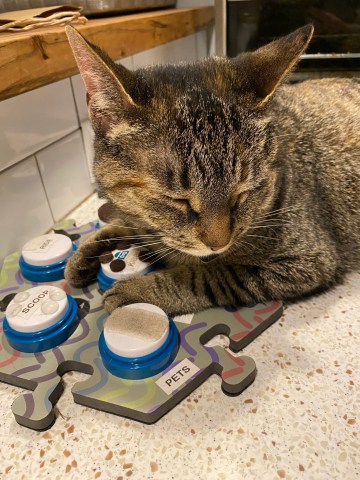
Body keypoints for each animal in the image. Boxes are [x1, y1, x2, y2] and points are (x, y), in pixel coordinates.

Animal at [64, 23, 360, 316]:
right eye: (178, 200)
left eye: (242, 194)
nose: (219, 243)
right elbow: (129, 224)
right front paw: (88, 249)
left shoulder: (306, 261)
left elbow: (207, 275)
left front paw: (138, 293)